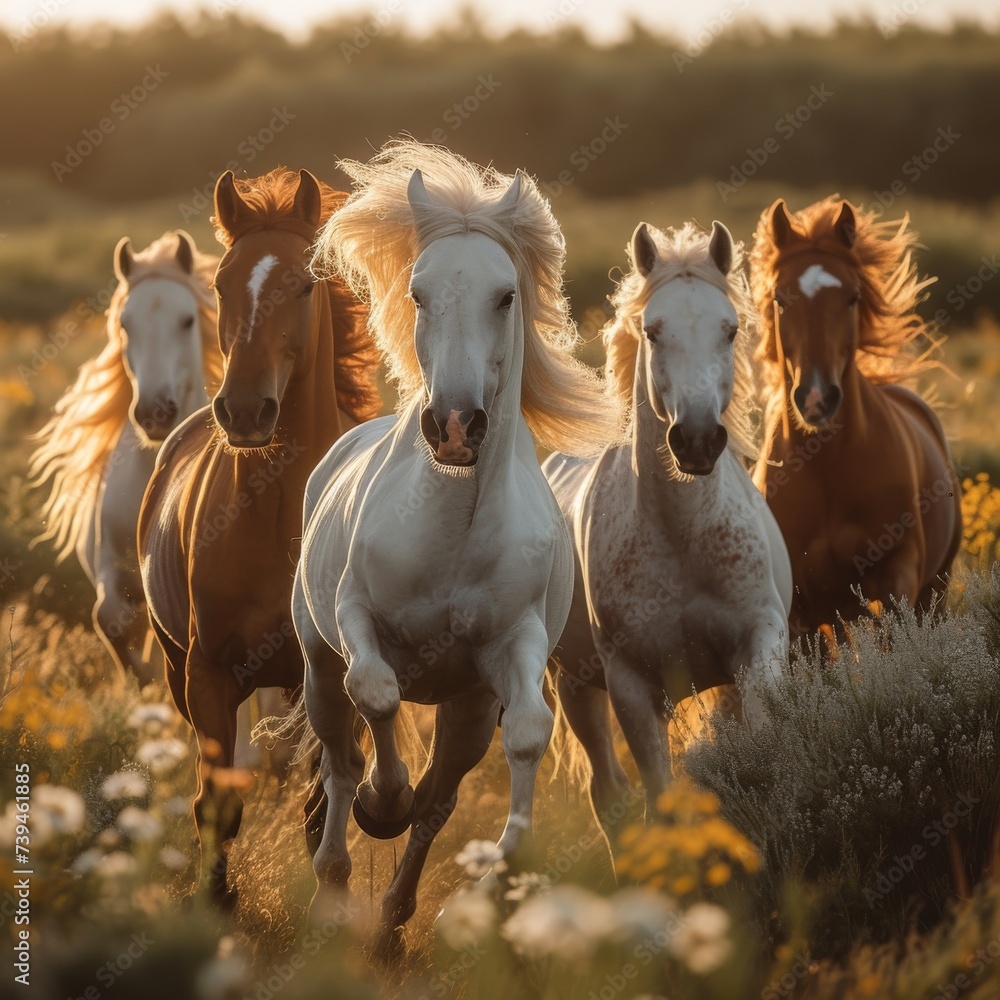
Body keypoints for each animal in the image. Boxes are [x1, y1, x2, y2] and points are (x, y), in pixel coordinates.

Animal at [31, 231, 222, 687]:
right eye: (124, 325)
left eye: (187, 320)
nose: (155, 411)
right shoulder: (113, 570)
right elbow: (110, 618)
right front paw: (141, 681)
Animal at [137, 168, 380, 905]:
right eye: (220, 285)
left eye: (303, 285)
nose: (245, 410)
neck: (278, 518)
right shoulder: (209, 676)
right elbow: (217, 800)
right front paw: (215, 901)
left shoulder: (329, 681)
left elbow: (320, 806)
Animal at [294, 140, 618, 955]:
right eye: (418, 292)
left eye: (505, 296)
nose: (454, 427)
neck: (453, 527)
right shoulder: (356, 618)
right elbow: (376, 693)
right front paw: (383, 802)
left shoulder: (511, 651)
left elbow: (529, 735)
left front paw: (484, 884)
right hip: (316, 662)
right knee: (340, 757)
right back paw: (336, 882)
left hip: (466, 710)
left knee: (438, 801)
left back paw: (391, 922)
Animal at [544, 221, 792, 852]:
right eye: (653, 331)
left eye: (730, 329)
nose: (698, 439)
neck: (682, 539)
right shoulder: (631, 685)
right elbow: (660, 801)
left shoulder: (758, 646)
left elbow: (764, 758)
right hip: (575, 687)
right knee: (608, 796)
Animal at [749, 197, 961, 638]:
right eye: (780, 298)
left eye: (852, 296)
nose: (817, 398)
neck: (828, 468)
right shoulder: (800, 611)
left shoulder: (898, 578)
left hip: (935, 592)